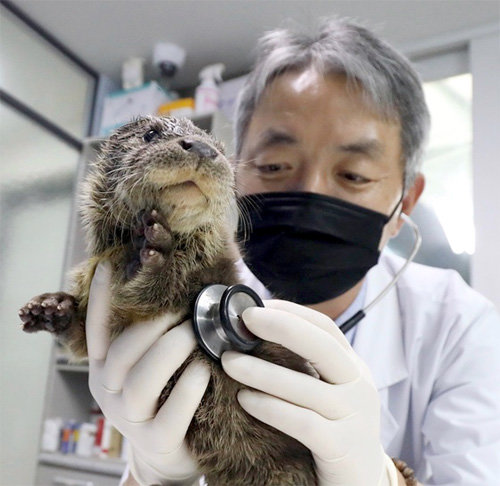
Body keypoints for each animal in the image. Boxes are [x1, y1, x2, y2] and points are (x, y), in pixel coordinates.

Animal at [20, 117, 316, 486]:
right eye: (150, 135)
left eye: (219, 148)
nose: (202, 148)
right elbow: (81, 340)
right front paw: (51, 307)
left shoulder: (204, 269)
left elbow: (158, 287)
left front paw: (157, 250)